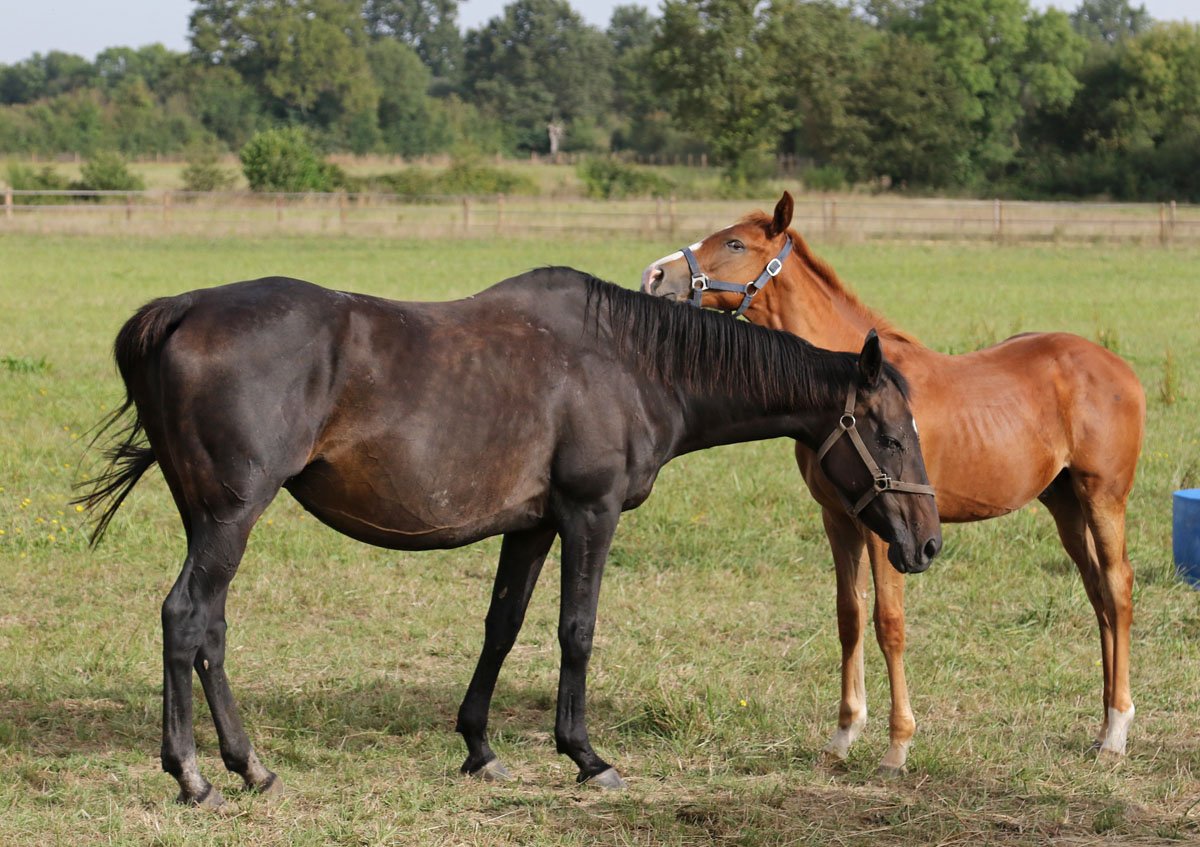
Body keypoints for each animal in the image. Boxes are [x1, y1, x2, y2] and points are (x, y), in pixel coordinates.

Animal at [79, 267, 940, 801]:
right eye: (891, 436)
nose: (927, 544)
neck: (631, 363)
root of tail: (184, 307)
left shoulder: (532, 526)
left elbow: (502, 625)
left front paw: (479, 747)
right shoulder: (589, 514)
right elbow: (576, 631)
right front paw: (586, 756)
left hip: (211, 520)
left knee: (211, 632)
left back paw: (249, 765)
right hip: (230, 517)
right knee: (186, 618)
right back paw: (193, 775)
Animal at [643, 196, 1147, 772]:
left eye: (733, 243)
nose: (656, 274)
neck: (852, 389)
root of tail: (1120, 368)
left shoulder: (890, 527)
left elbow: (889, 622)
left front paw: (897, 745)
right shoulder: (839, 518)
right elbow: (849, 618)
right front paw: (843, 734)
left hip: (1103, 497)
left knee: (1118, 587)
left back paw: (1118, 730)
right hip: (1063, 503)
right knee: (1097, 593)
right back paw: (1103, 725)